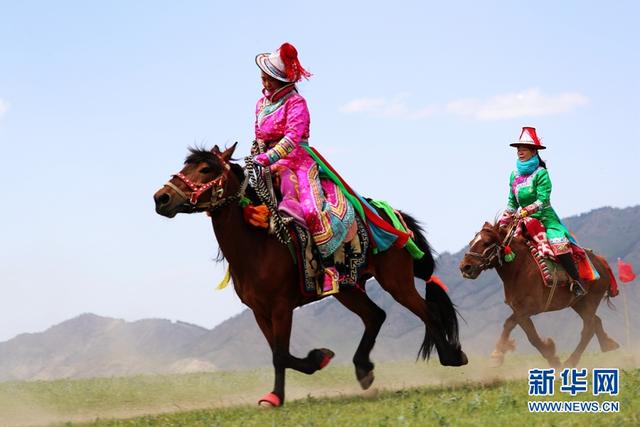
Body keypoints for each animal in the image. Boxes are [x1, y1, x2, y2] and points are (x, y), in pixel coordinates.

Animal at [152, 145, 468, 406]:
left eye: (206, 169)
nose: (161, 198)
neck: (258, 245)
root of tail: (396, 218)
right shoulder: (259, 311)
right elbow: (278, 353)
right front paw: (306, 369)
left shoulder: (281, 307)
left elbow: (280, 354)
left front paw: (284, 389)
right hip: (347, 289)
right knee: (376, 316)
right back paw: (363, 368)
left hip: (395, 281)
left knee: (427, 312)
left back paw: (452, 356)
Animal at [458, 222, 616, 370]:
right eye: (471, 243)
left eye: (486, 242)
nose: (465, 267)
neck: (519, 269)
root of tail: (601, 261)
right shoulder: (519, 310)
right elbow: (521, 331)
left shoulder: (527, 309)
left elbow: (522, 332)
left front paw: (497, 356)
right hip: (578, 303)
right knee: (595, 322)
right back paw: (608, 344)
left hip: (590, 300)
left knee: (588, 328)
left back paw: (571, 361)